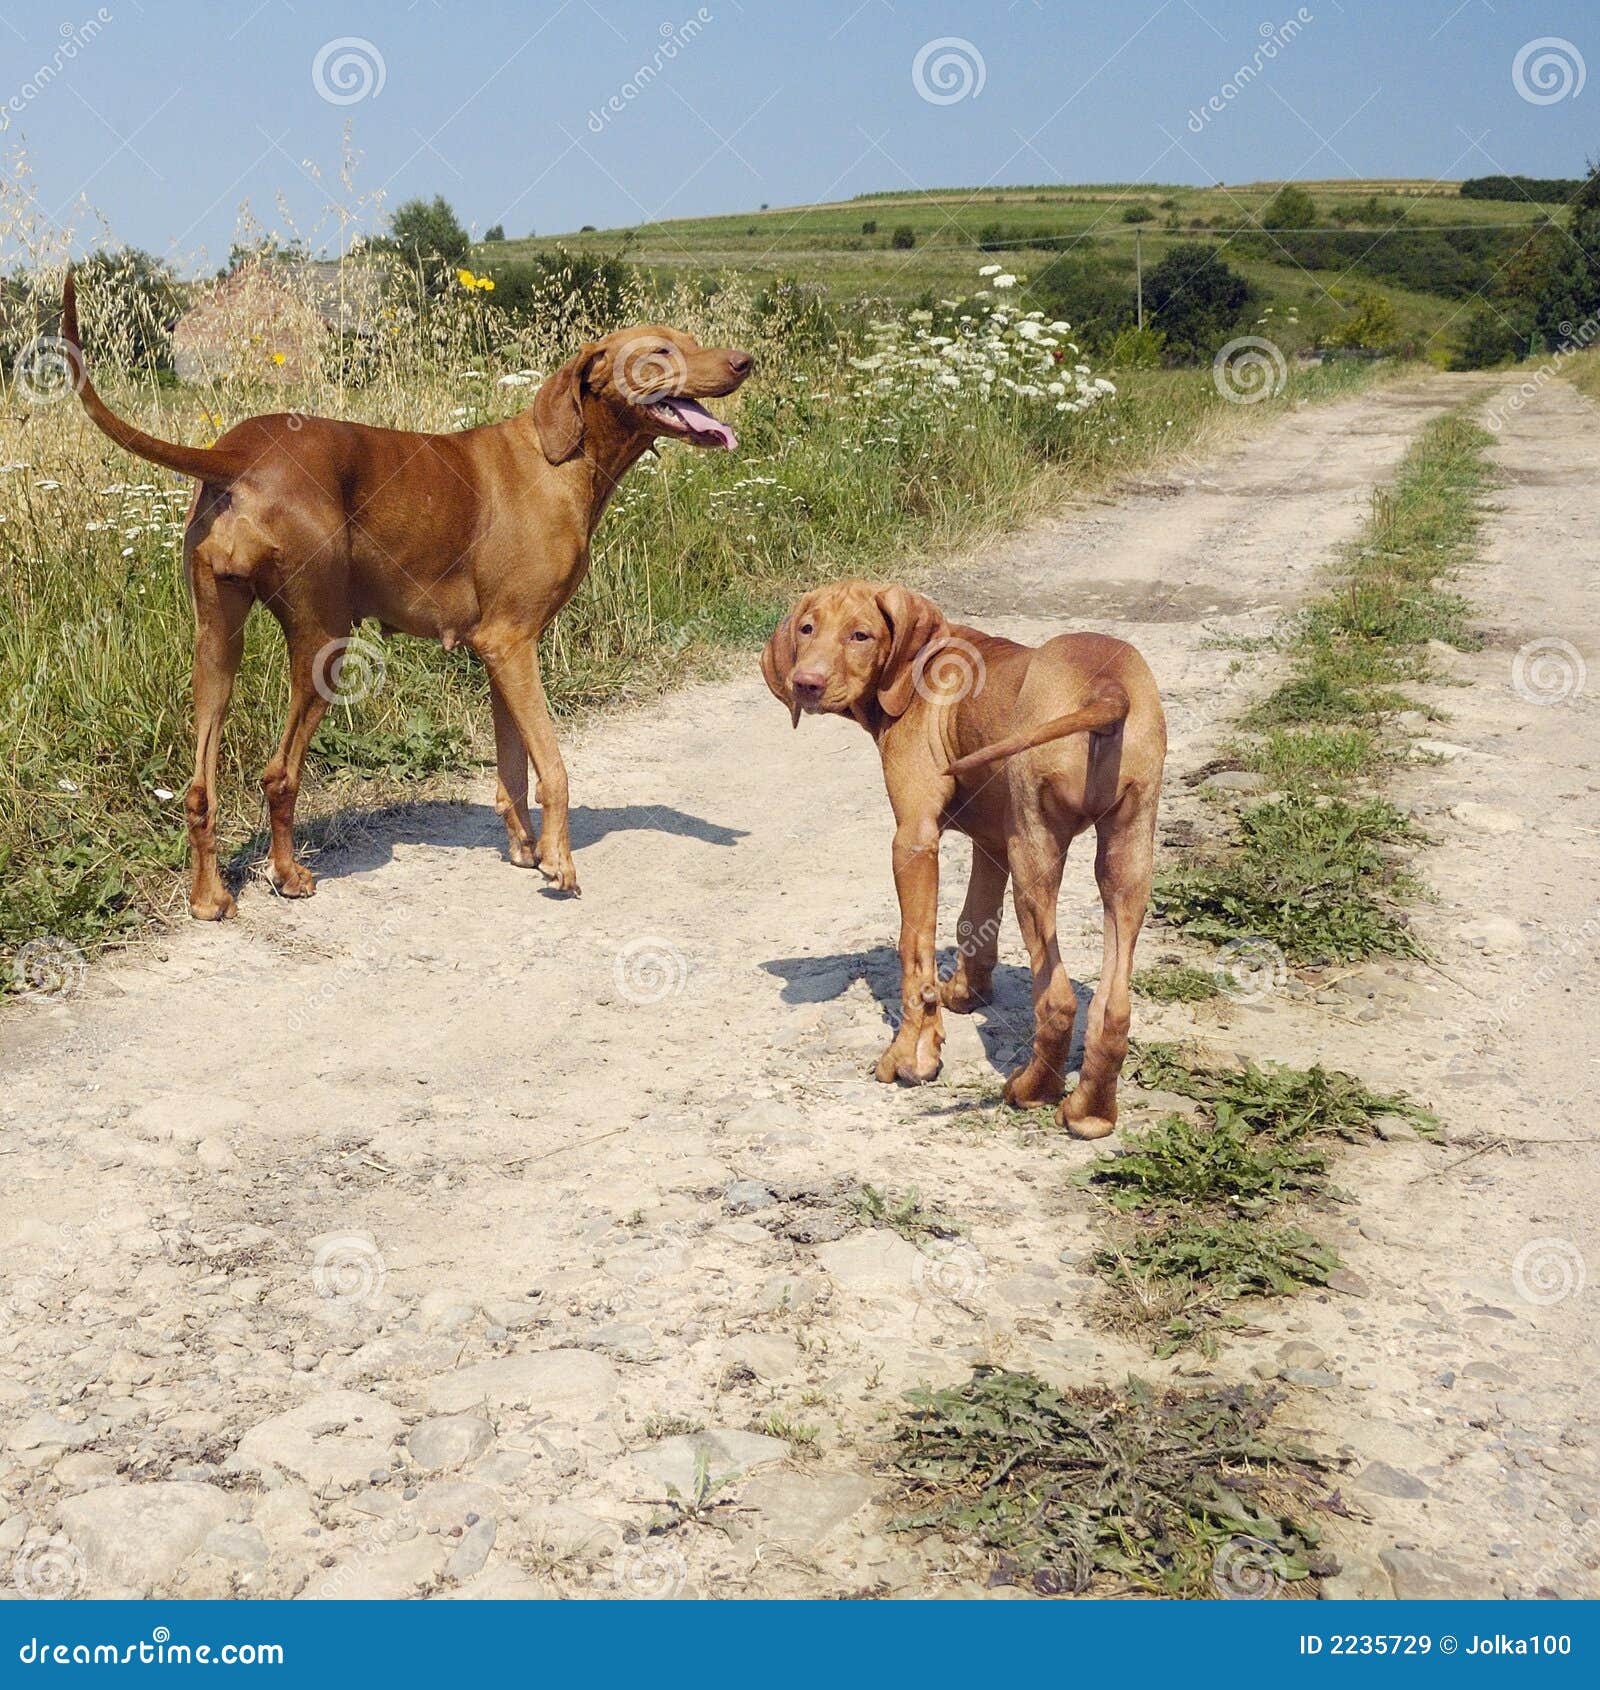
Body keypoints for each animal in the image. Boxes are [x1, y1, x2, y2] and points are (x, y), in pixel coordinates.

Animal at [62, 268, 750, 919]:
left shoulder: (499, 650)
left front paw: (525, 849)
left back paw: (209, 897)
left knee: (201, 787)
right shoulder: (512, 643)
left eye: (693, 341)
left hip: (215, 643)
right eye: (660, 351)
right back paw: (287, 875)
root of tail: (238, 453)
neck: (563, 456)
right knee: (280, 774)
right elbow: (551, 765)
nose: (744, 361)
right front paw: (560, 862)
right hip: (324, 641)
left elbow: (512, 765)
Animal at [763, 577, 1162, 1135]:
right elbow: (974, 922)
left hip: (1035, 852)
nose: (806, 684)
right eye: (806, 628)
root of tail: (1109, 689)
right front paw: (965, 994)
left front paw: (911, 1056)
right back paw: (1090, 1112)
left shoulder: (913, 840)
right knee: (1113, 1007)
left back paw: (1032, 1090)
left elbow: (915, 952)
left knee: (1058, 999)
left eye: (861, 635)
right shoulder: (991, 842)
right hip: (1127, 856)